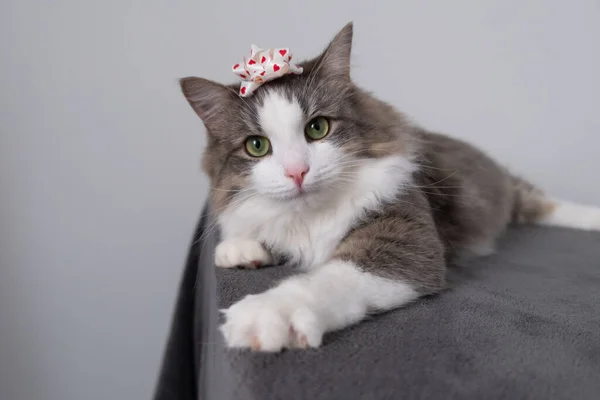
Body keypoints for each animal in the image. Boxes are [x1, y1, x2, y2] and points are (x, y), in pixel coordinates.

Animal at [178, 23, 600, 352]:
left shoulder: (404, 236)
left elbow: (330, 278)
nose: (298, 172)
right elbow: (251, 229)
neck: (311, 217)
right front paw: (240, 249)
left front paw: (268, 314)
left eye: (317, 128)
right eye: (256, 146)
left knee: (545, 204)